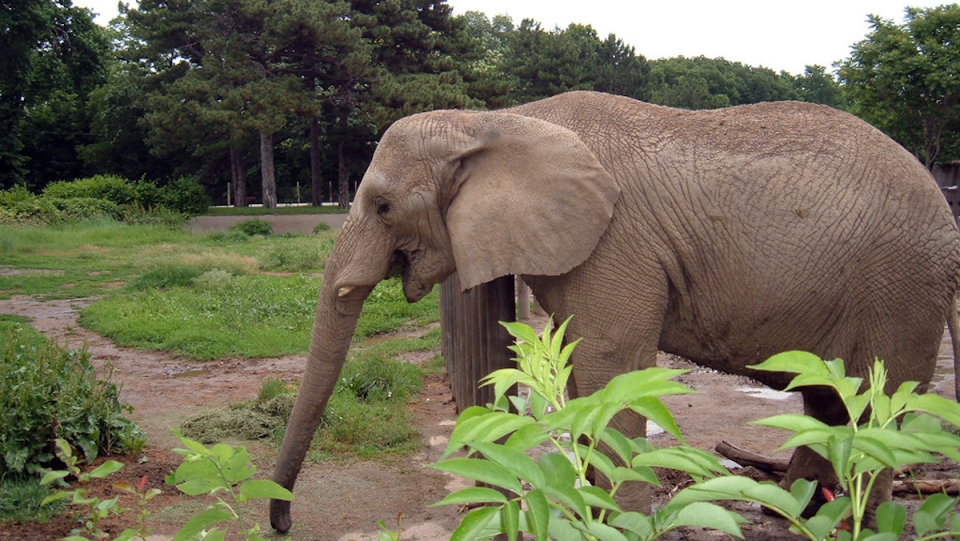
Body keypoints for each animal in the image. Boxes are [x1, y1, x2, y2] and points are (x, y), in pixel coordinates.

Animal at [268, 89, 960, 532]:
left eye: (383, 207)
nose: (282, 522)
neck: (499, 120)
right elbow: (582, 371)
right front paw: (590, 510)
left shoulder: (616, 242)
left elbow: (611, 366)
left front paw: (618, 522)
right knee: (828, 399)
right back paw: (793, 513)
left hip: (899, 287)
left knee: (874, 402)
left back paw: (856, 522)